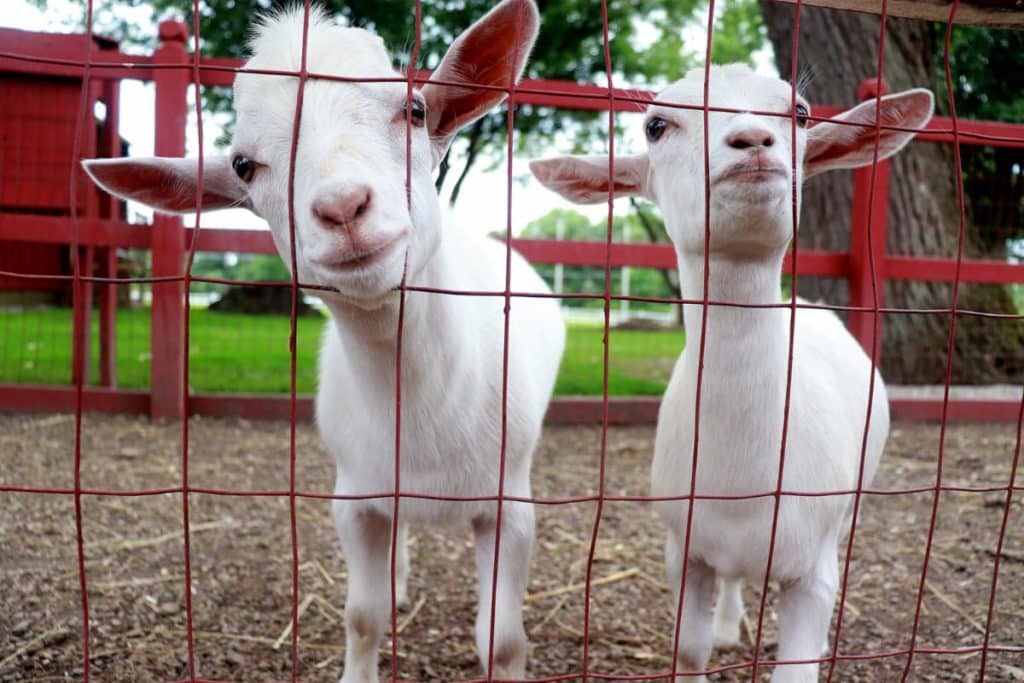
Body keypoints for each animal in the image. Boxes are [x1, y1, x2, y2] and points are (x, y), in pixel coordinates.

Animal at [82, 2, 565, 679]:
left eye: (414, 109)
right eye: (243, 164)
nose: (342, 207)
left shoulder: (510, 505)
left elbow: (502, 640)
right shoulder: (355, 497)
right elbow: (362, 616)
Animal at [532, 62, 933, 679]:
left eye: (801, 114)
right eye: (655, 125)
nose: (752, 140)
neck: (744, 485)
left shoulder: (812, 563)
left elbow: (797, 666)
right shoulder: (684, 546)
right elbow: (688, 647)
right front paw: (712, 638)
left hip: (851, 504)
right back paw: (728, 626)